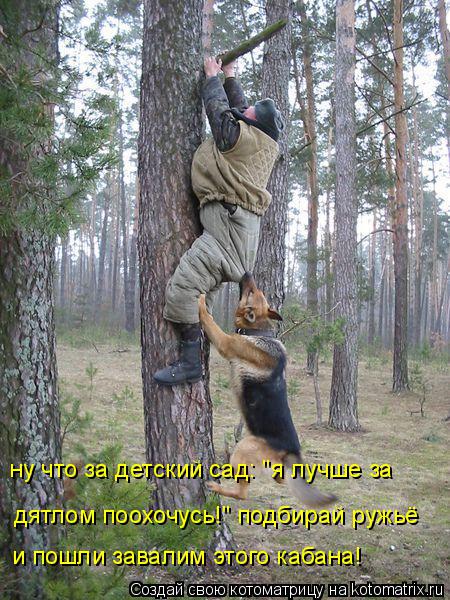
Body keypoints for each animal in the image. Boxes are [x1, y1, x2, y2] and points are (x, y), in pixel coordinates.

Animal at [198, 272, 336, 508]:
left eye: (251, 292)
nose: (247, 273)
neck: (258, 330)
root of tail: (291, 450)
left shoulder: (225, 342)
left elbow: (209, 321)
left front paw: (200, 303)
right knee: (278, 479)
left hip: (243, 448)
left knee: (242, 492)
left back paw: (216, 487)